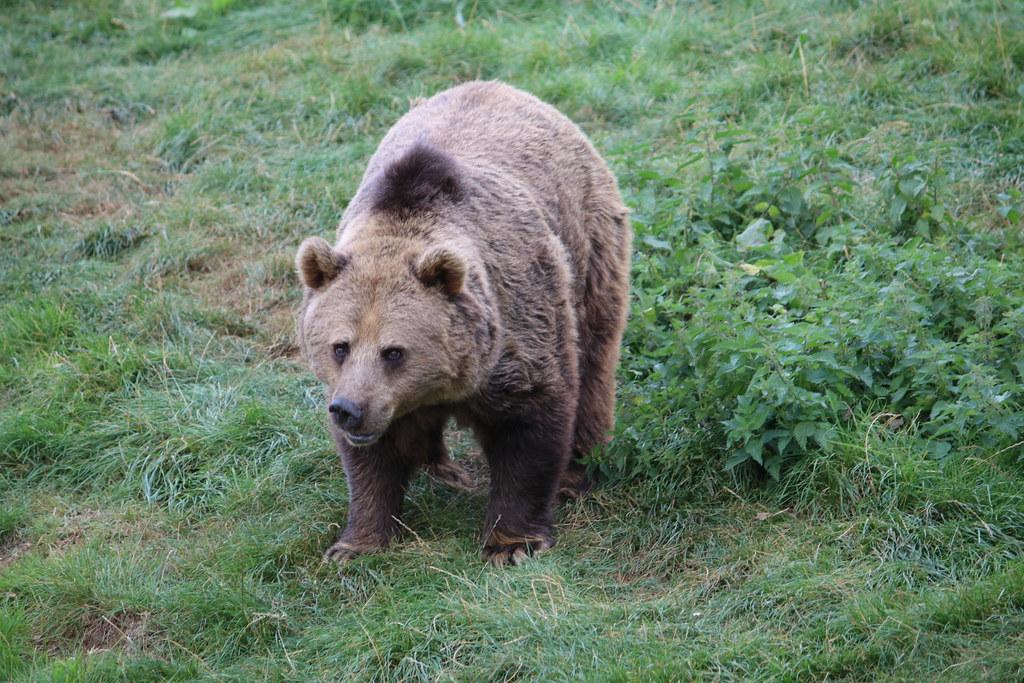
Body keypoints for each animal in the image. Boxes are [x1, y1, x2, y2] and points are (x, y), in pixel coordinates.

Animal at [295, 81, 631, 566]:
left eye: (393, 351)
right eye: (339, 346)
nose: (348, 410)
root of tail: (506, 88)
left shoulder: (518, 327)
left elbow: (529, 428)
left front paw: (512, 543)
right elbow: (373, 458)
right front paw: (354, 544)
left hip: (590, 244)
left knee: (594, 357)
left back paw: (577, 472)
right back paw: (440, 468)